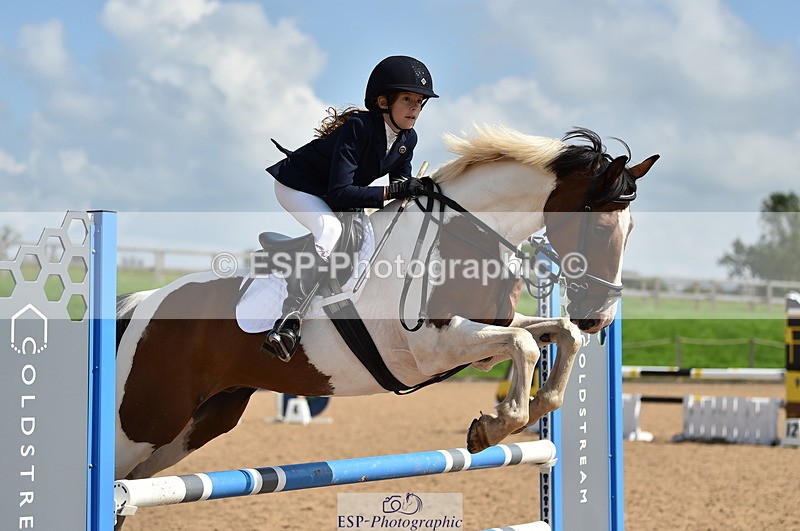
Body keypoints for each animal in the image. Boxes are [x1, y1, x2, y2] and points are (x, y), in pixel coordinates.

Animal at [114, 126, 658, 484]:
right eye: (601, 229)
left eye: (632, 229)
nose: (600, 316)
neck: (468, 232)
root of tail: (144, 305)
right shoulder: (431, 346)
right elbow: (525, 344)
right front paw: (494, 426)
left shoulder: (484, 331)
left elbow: (555, 334)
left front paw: (530, 408)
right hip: (145, 423)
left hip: (192, 428)